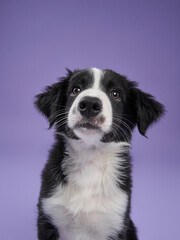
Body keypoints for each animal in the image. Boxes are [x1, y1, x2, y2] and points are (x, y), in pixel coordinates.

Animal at [34, 68, 165, 240]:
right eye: (76, 90)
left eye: (115, 94)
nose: (90, 104)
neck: (90, 157)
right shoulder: (48, 217)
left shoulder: (116, 222)